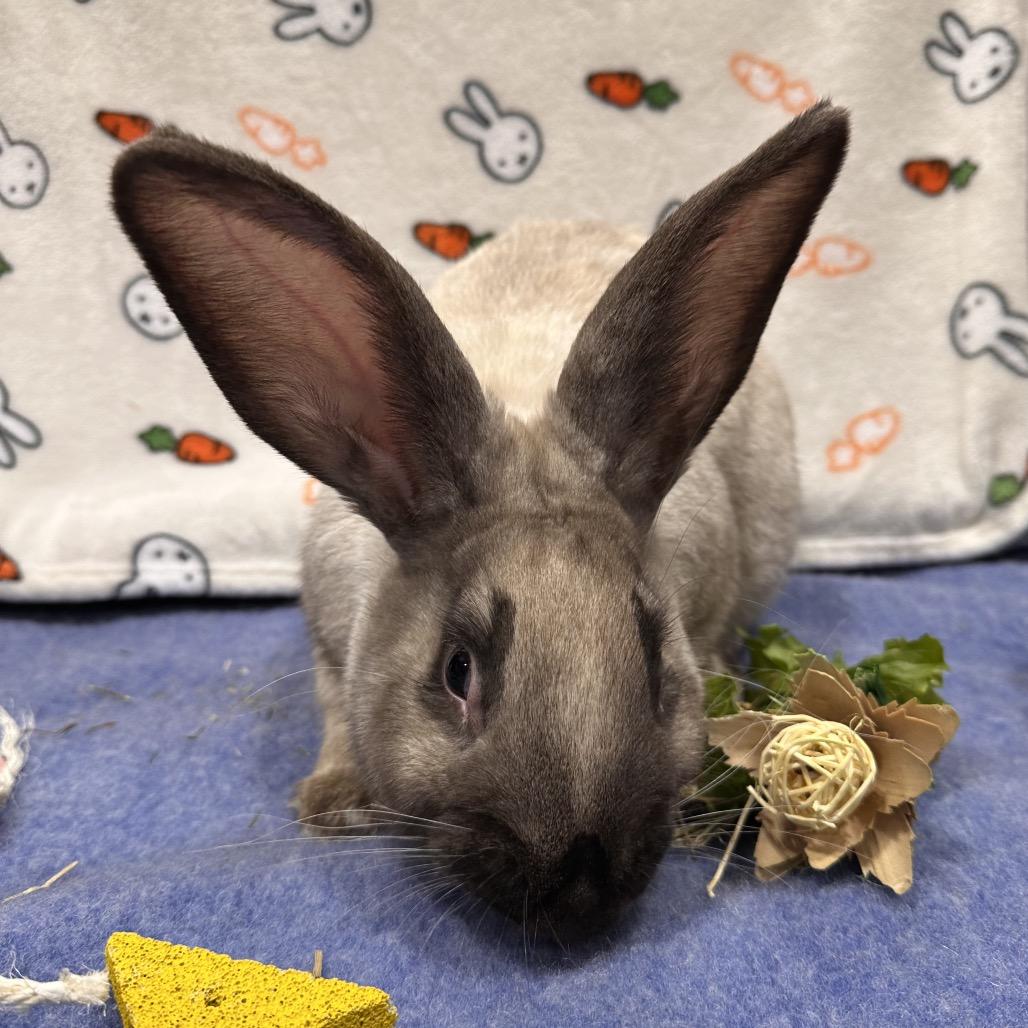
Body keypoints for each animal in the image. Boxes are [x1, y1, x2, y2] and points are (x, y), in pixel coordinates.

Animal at [111, 100, 848, 936]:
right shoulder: (330, 644)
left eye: (655, 656)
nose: (582, 876)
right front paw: (336, 806)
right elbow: (335, 711)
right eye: (456, 670)